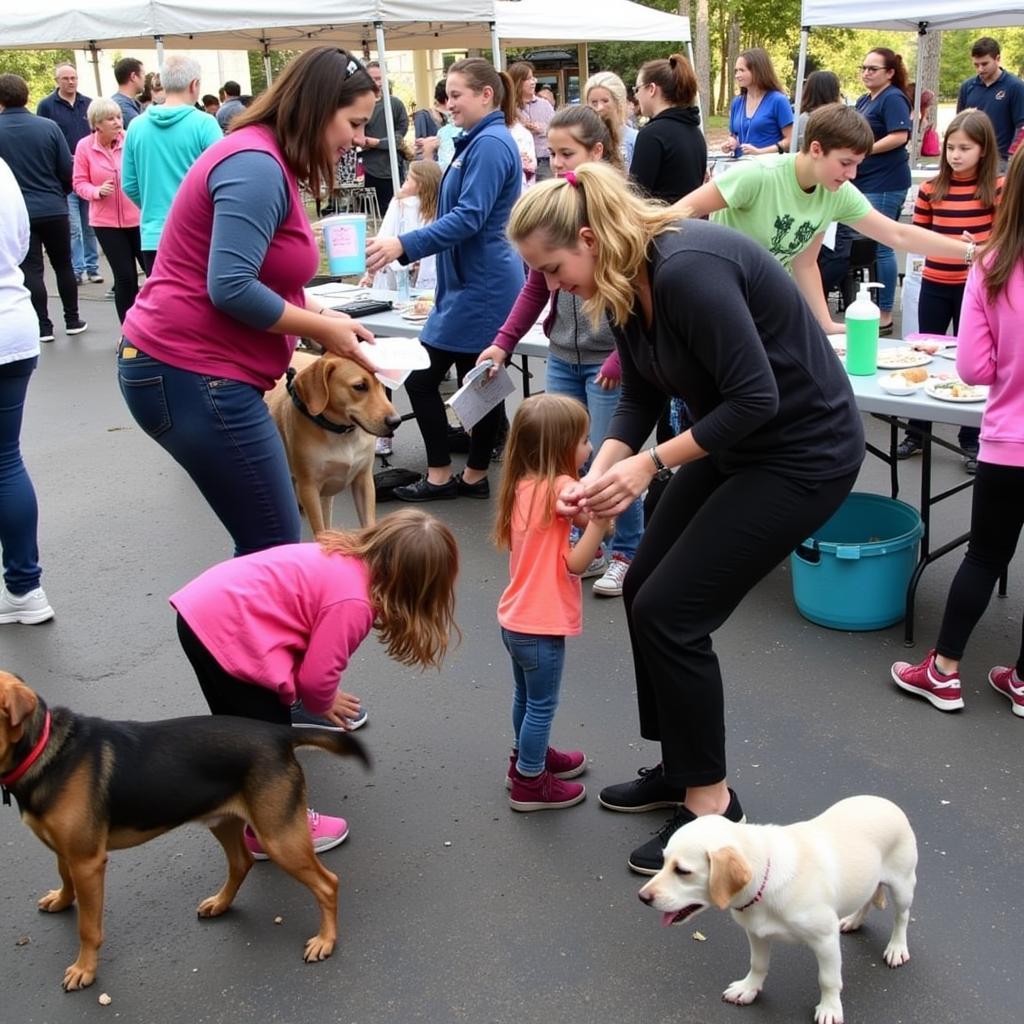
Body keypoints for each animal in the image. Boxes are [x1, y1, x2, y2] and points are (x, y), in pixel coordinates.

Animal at [0, 671, 368, 991]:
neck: (43, 751)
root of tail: (277, 734)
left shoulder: (87, 862)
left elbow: (87, 928)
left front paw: (84, 970)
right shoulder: (68, 851)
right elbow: (64, 877)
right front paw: (62, 900)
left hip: (280, 838)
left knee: (327, 883)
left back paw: (325, 940)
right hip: (224, 821)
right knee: (241, 862)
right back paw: (220, 903)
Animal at [266, 350, 401, 532]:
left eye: (382, 384)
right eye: (360, 386)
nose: (396, 421)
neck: (342, 433)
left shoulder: (363, 481)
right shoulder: (309, 489)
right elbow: (320, 530)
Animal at [638, 798, 921, 1024]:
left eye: (682, 871)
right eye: (663, 861)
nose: (642, 898)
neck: (767, 874)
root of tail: (886, 802)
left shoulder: (825, 940)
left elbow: (828, 980)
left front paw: (830, 1008)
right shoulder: (756, 933)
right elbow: (758, 964)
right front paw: (749, 988)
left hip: (902, 885)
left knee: (902, 917)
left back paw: (896, 948)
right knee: (867, 900)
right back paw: (853, 920)